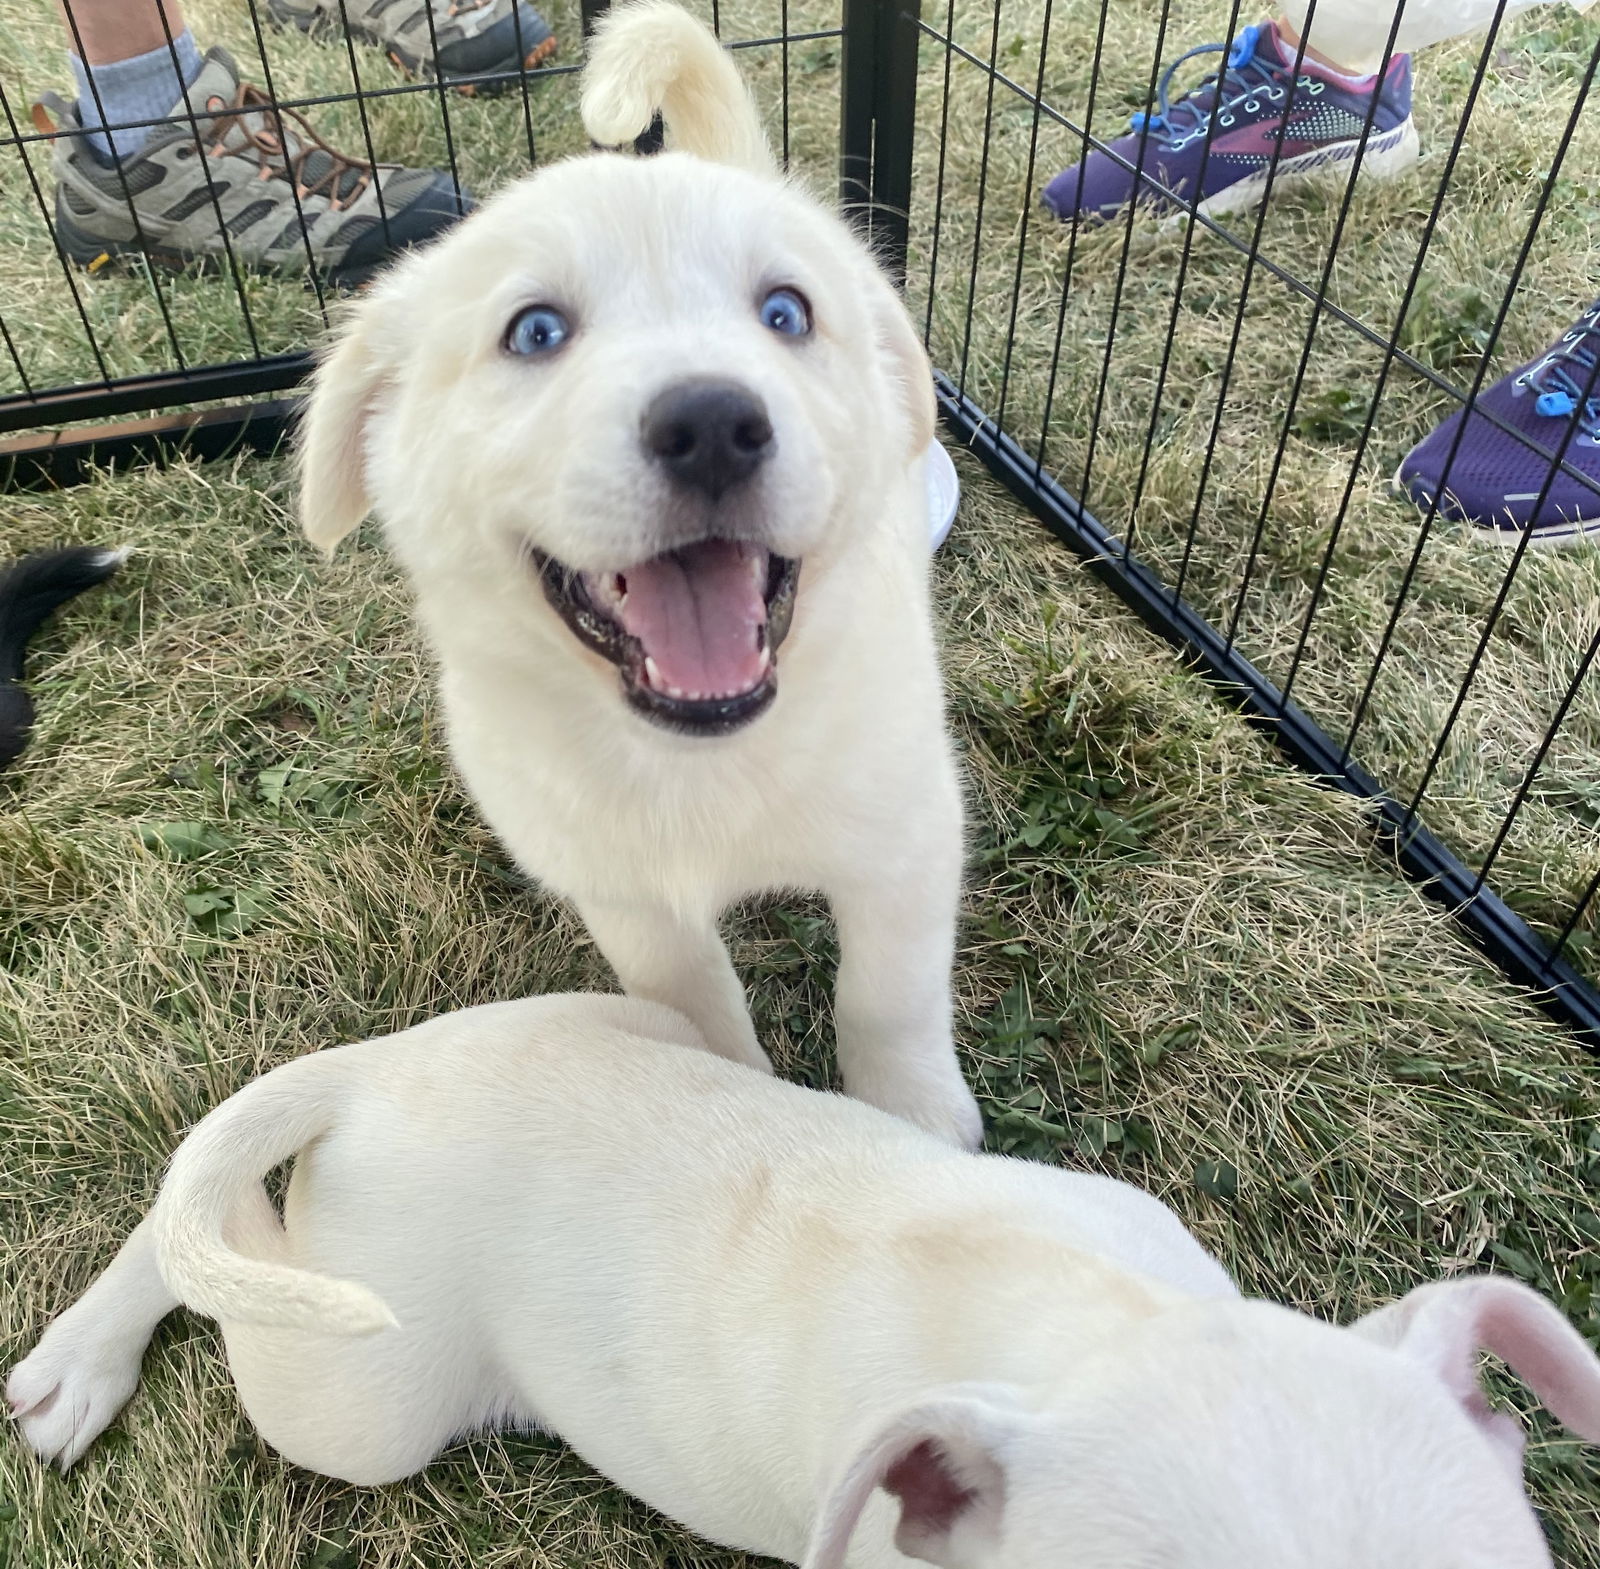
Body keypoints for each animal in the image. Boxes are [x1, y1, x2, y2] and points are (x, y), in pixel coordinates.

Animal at [294, 3, 979, 1151]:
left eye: (785, 313)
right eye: (535, 331)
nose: (712, 425)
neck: (700, 758)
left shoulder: (907, 836)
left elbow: (888, 999)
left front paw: (917, 1119)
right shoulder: (630, 900)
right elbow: (698, 1014)